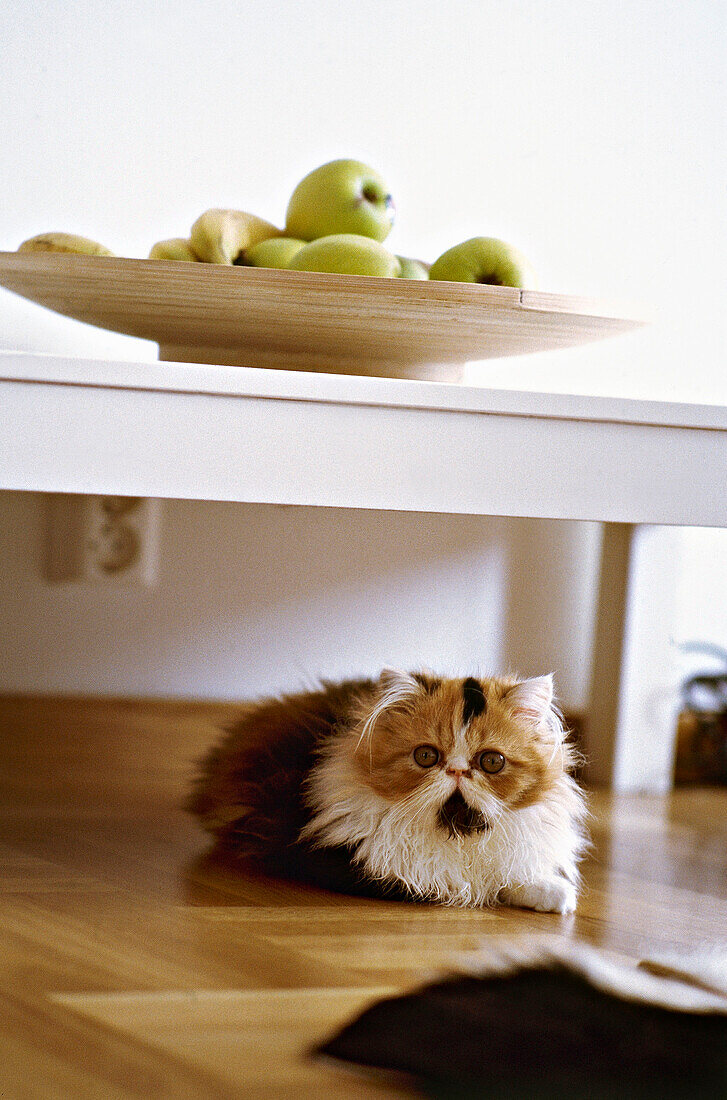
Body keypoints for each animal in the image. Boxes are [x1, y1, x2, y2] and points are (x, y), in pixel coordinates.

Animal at [186, 668, 589, 910]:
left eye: (492, 762)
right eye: (426, 756)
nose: (457, 770)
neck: (454, 831)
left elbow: (511, 875)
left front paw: (555, 895)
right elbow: (440, 881)